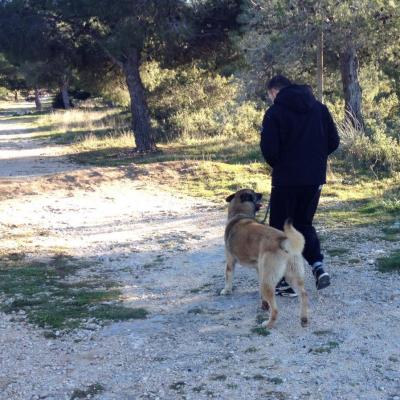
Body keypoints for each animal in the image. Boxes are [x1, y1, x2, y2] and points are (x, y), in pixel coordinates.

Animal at [222, 188, 310, 328]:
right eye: (253, 193)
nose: (261, 193)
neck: (240, 214)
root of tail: (283, 240)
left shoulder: (230, 261)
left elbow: (228, 277)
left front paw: (226, 290)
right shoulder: (259, 269)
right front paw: (263, 304)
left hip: (268, 282)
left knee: (276, 310)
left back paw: (268, 324)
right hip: (293, 276)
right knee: (304, 295)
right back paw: (304, 319)